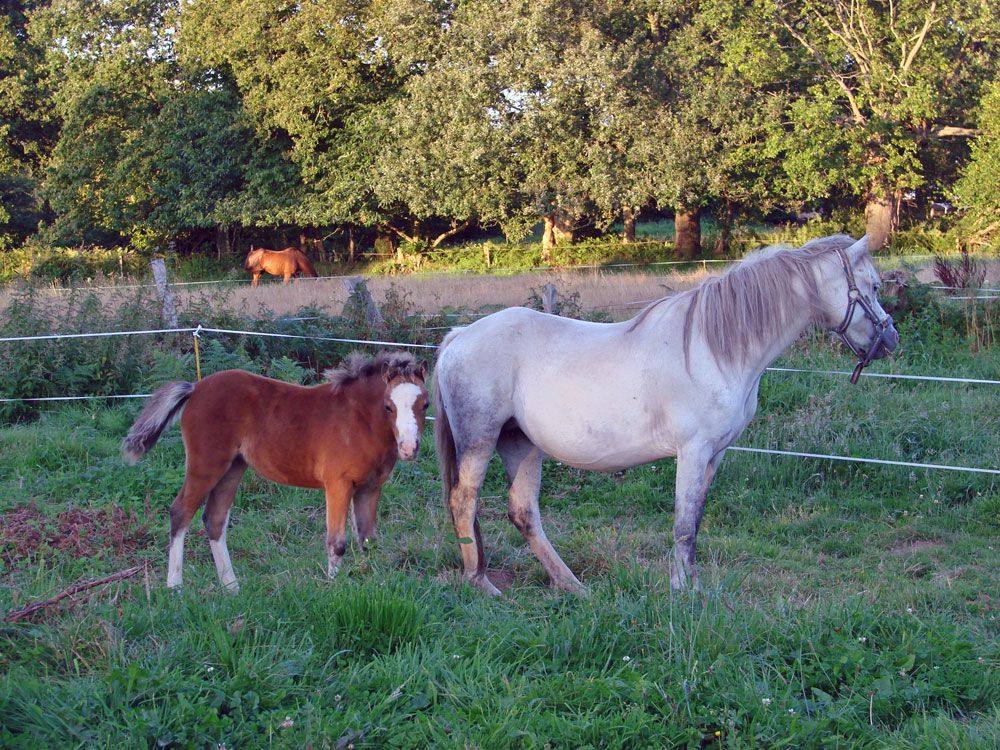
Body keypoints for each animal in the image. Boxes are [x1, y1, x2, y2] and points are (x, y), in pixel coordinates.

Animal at [122, 351, 428, 592]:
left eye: (425, 404)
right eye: (388, 406)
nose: (409, 448)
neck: (359, 420)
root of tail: (195, 388)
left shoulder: (371, 487)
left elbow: (368, 540)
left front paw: (369, 584)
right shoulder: (338, 484)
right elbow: (337, 542)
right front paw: (333, 589)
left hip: (233, 468)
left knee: (215, 519)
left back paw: (232, 587)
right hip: (206, 464)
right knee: (180, 512)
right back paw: (175, 587)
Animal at [432, 234, 899, 595]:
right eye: (874, 287)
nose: (890, 339)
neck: (715, 348)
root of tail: (459, 336)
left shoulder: (714, 455)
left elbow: (695, 522)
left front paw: (693, 588)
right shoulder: (693, 452)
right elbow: (683, 525)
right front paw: (681, 594)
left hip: (520, 442)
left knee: (523, 512)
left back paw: (571, 586)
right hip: (480, 439)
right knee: (464, 500)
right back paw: (480, 583)